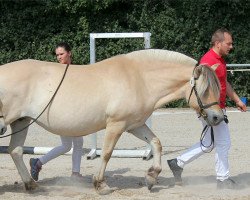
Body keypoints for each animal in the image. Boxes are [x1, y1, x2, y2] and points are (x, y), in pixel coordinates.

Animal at [0, 48, 224, 194]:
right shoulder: (116, 125)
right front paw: (101, 184)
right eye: (205, 90)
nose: (218, 117)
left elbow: (156, 143)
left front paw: (152, 176)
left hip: (21, 121)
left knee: (16, 151)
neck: (139, 79)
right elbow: (107, 153)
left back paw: (31, 184)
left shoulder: (135, 125)